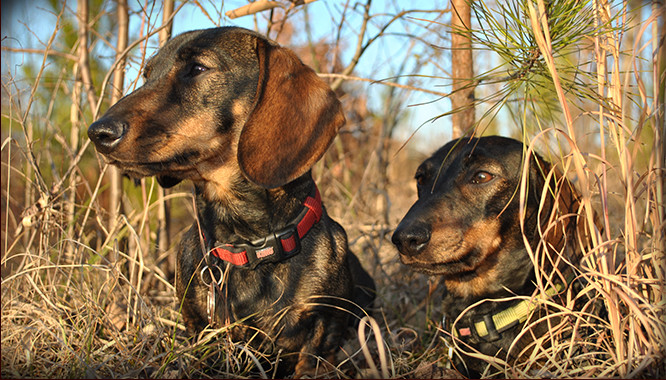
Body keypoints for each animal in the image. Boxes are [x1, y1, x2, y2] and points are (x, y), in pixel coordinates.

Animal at [88, 26, 374, 378]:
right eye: (147, 74)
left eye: (197, 68)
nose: (98, 133)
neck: (250, 246)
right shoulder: (200, 328)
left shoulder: (324, 329)